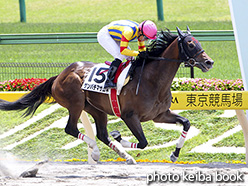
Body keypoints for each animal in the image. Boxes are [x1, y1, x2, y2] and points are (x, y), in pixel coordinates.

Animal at [0, 26, 213, 163]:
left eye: (198, 42)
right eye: (190, 44)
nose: (209, 62)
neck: (152, 80)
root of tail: (60, 75)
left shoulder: (160, 115)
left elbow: (186, 123)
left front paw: (175, 154)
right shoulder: (129, 116)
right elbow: (143, 142)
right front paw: (118, 135)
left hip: (97, 109)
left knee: (101, 134)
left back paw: (125, 157)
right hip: (76, 103)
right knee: (71, 129)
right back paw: (94, 151)